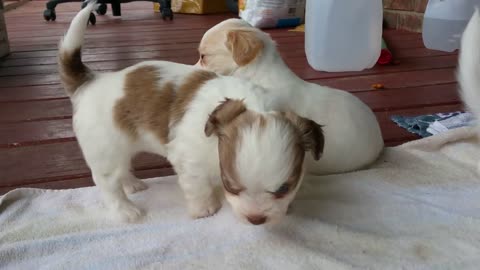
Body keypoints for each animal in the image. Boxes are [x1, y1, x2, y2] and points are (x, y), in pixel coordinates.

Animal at [58, 2, 324, 226]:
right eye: (231, 186)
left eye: (284, 189)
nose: (256, 220)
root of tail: (91, 81)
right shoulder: (189, 158)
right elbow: (198, 187)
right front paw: (205, 209)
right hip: (105, 150)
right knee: (107, 183)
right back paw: (125, 210)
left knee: (122, 168)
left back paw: (132, 185)